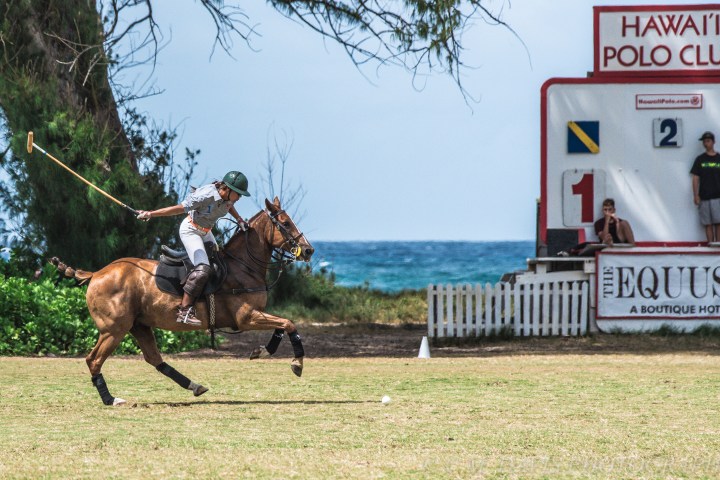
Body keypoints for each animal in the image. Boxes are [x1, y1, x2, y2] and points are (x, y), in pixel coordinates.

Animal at [52, 197, 314, 406]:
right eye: (286, 223)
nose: (308, 250)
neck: (243, 265)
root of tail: (95, 273)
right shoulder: (246, 317)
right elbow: (288, 323)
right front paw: (297, 363)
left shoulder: (254, 315)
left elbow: (283, 325)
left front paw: (262, 351)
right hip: (114, 329)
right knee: (94, 360)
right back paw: (110, 399)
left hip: (139, 325)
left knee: (154, 360)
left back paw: (194, 386)